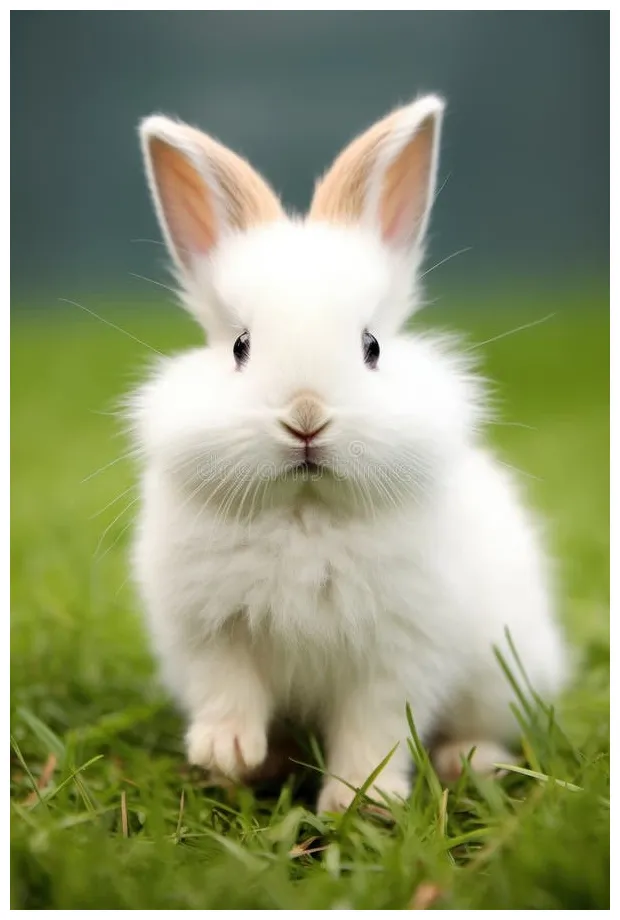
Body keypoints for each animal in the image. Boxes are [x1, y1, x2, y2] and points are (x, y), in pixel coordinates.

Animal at [129, 95, 568, 813]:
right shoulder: (210, 634)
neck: (306, 509)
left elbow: (375, 726)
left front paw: (360, 801)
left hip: (501, 672)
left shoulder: (396, 653)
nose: (306, 417)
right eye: (240, 346)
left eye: (372, 347)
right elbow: (229, 691)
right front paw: (228, 752)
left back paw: (469, 761)